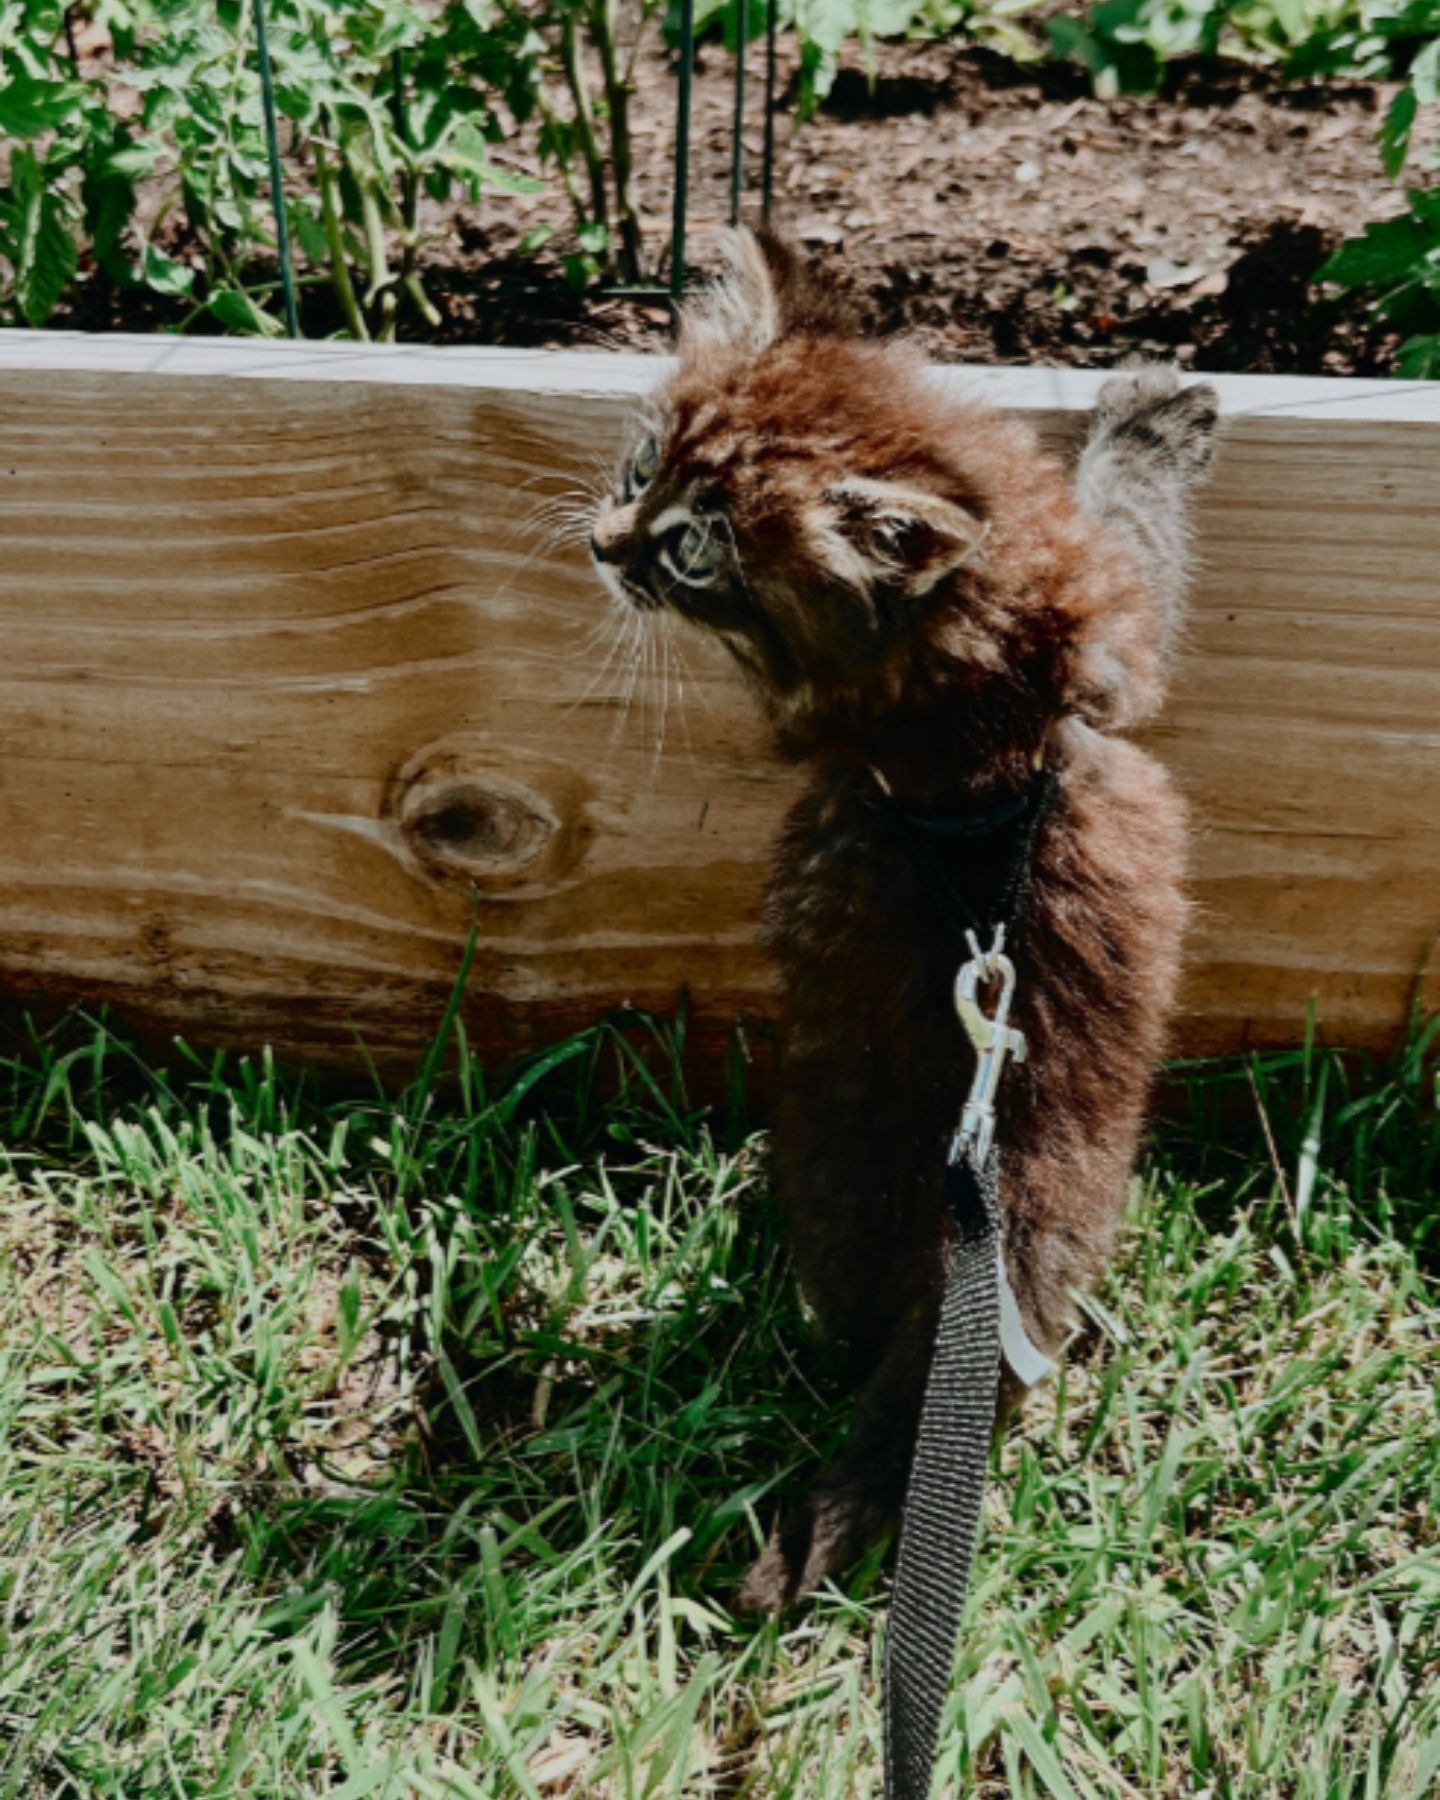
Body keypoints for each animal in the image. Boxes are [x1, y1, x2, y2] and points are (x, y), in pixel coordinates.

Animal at [583, 232, 1216, 1612]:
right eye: (643, 471)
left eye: (696, 549)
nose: (605, 545)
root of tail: (952, 1269)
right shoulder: (1118, 643)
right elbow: (1133, 512)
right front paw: (1150, 417)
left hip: (829, 1197)